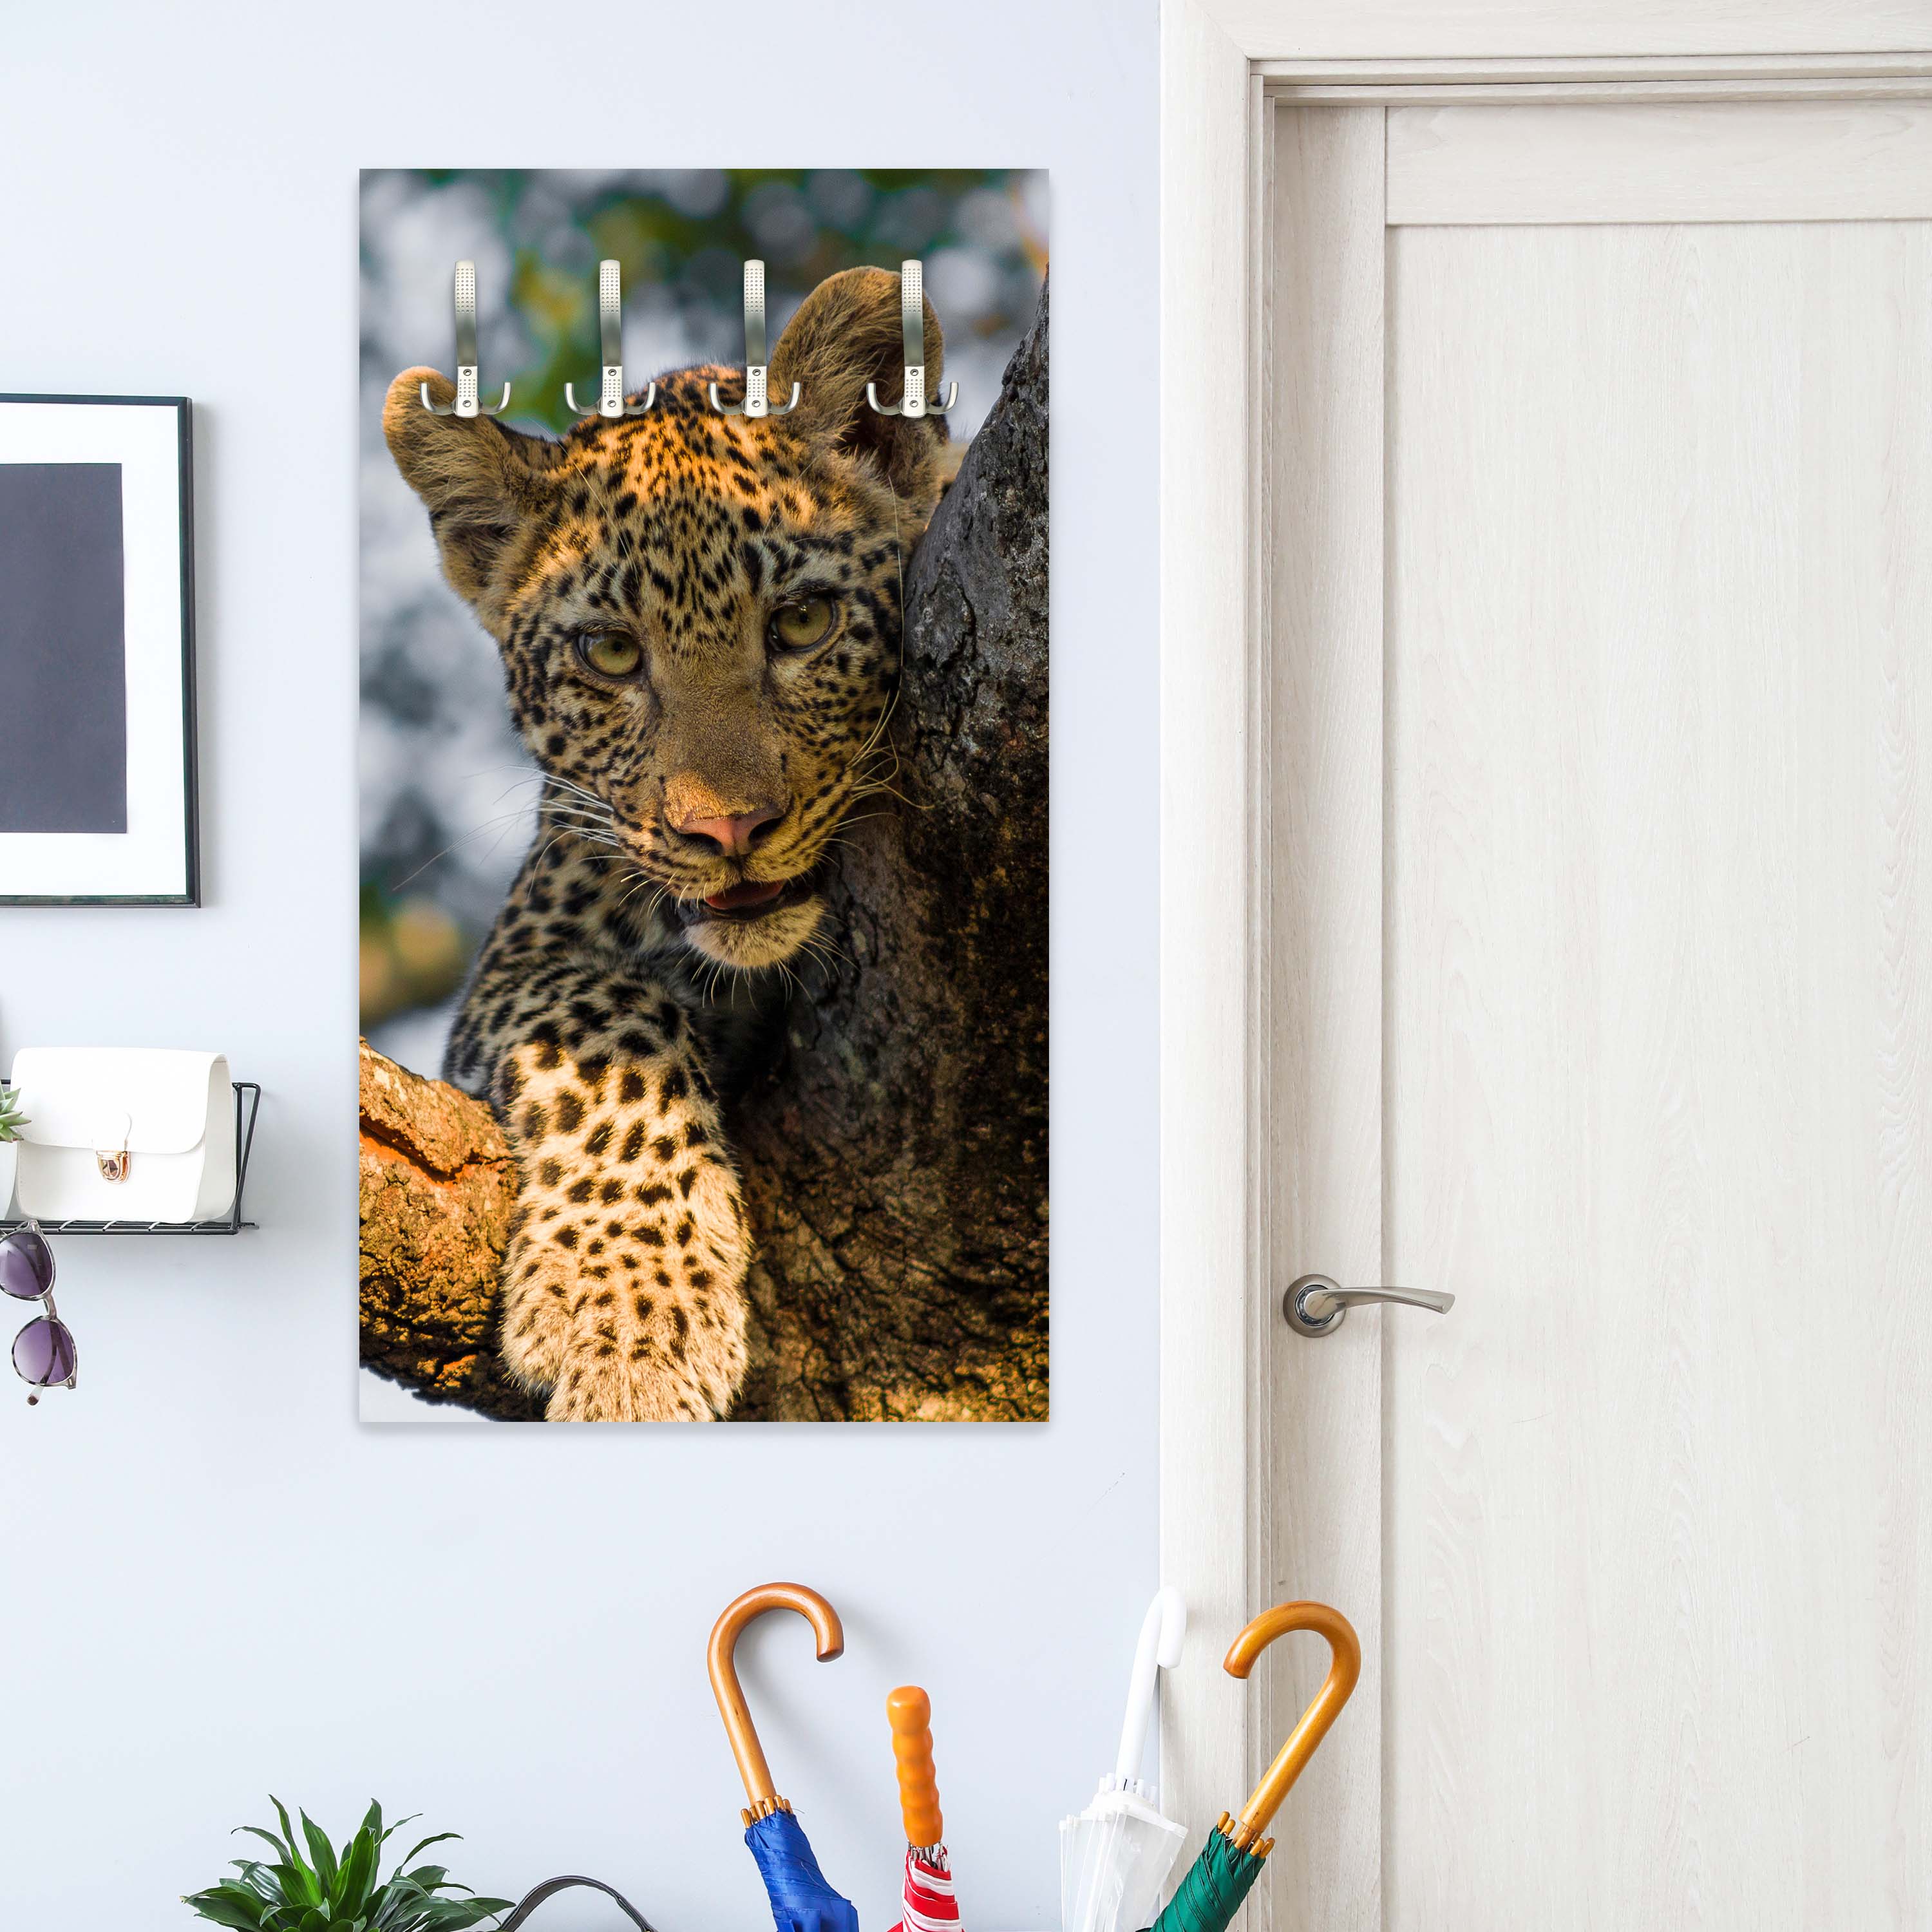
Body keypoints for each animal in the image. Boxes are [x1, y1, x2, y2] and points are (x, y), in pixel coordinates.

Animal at [382, 267, 949, 1421]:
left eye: (804, 622)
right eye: (609, 653)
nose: (727, 829)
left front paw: (633, 1328)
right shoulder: (522, 958)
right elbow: (612, 1021)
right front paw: (630, 1323)